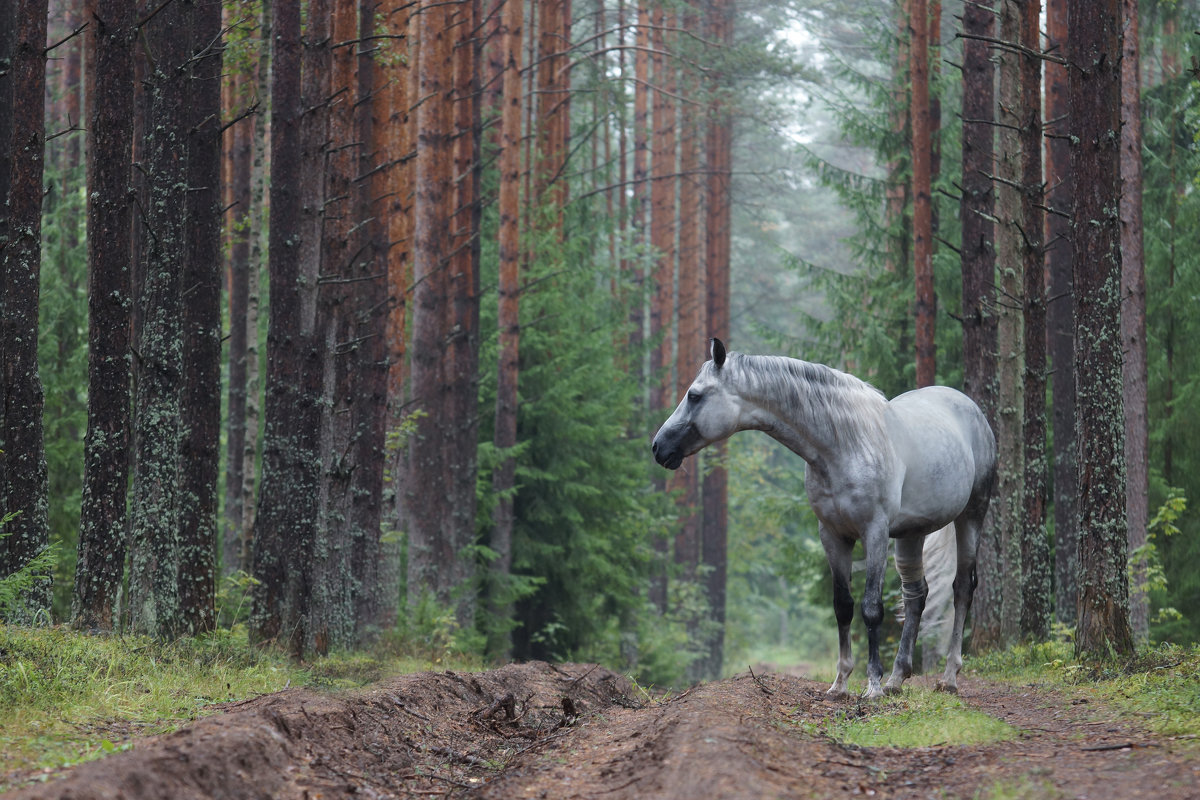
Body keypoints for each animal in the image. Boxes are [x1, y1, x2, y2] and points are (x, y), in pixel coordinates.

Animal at [652, 340, 998, 700]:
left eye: (695, 395)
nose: (658, 447)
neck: (845, 446)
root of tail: (969, 407)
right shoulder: (832, 535)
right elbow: (842, 605)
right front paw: (840, 683)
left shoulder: (874, 532)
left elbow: (871, 607)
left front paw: (872, 686)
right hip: (911, 533)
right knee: (916, 594)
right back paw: (897, 678)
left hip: (972, 515)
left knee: (962, 587)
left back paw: (948, 677)